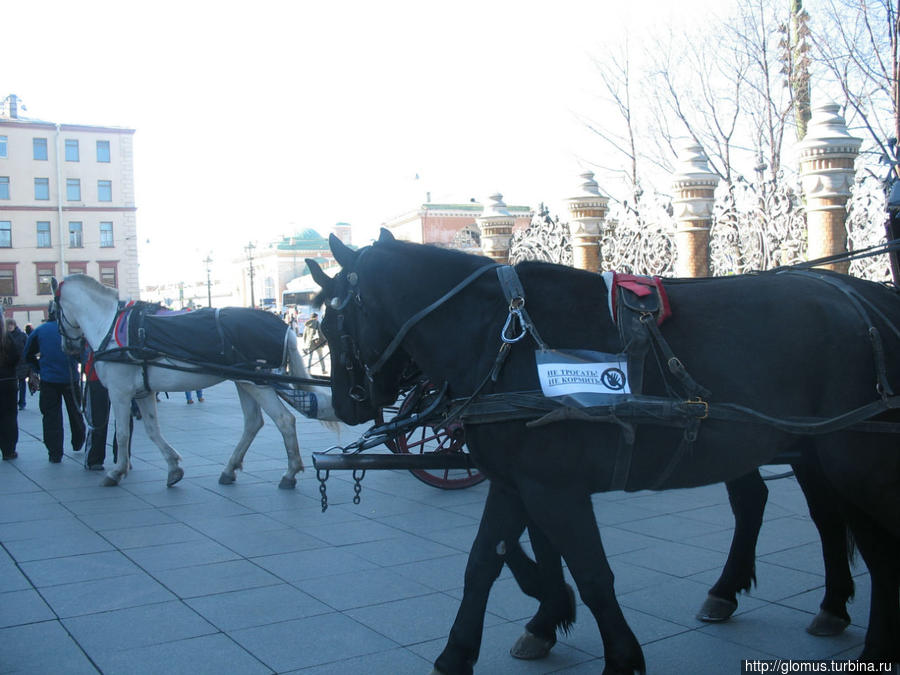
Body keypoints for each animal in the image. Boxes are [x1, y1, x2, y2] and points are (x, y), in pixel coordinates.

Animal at [51, 274, 338, 492]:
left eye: (53, 312)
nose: (68, 348)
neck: (110, 327)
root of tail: (284, 326)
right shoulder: (142, 392)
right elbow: (153, 431)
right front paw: (173, 467)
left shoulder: (120, 393)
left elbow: (121, 434)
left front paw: (116, 472)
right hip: (245, 381)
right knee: (253, 422)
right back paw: (230, 469)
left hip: (259, 383)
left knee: (284, 421)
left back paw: (290, 472)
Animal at [308, 230, 892, 672]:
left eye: (331, 323)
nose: (344, 403)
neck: (505, 340)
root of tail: (867, 301)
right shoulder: (515, 482)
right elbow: (484, 562)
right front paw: (461, 652)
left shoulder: (555, 488)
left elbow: (591, 572)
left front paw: (618, 653)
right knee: (806, 514)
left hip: (853, 459)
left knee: (872, 540)